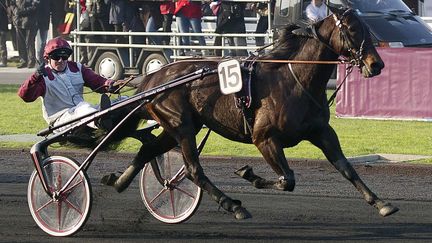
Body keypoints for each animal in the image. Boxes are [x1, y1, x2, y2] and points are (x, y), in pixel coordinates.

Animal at [104, 5, 398, 218]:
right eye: (352, 29)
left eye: (366, 28)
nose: (377, 64)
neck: (295, 80)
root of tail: (151, 79)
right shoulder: (264, 138)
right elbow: (287, 180)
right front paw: (249, 175)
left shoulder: (321, 131)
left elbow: (346, 167)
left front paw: (380, 202)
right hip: (181, 126)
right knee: (192, 170)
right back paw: (233, 205)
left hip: (179, 126)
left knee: (148, 150)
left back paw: (118, 181)